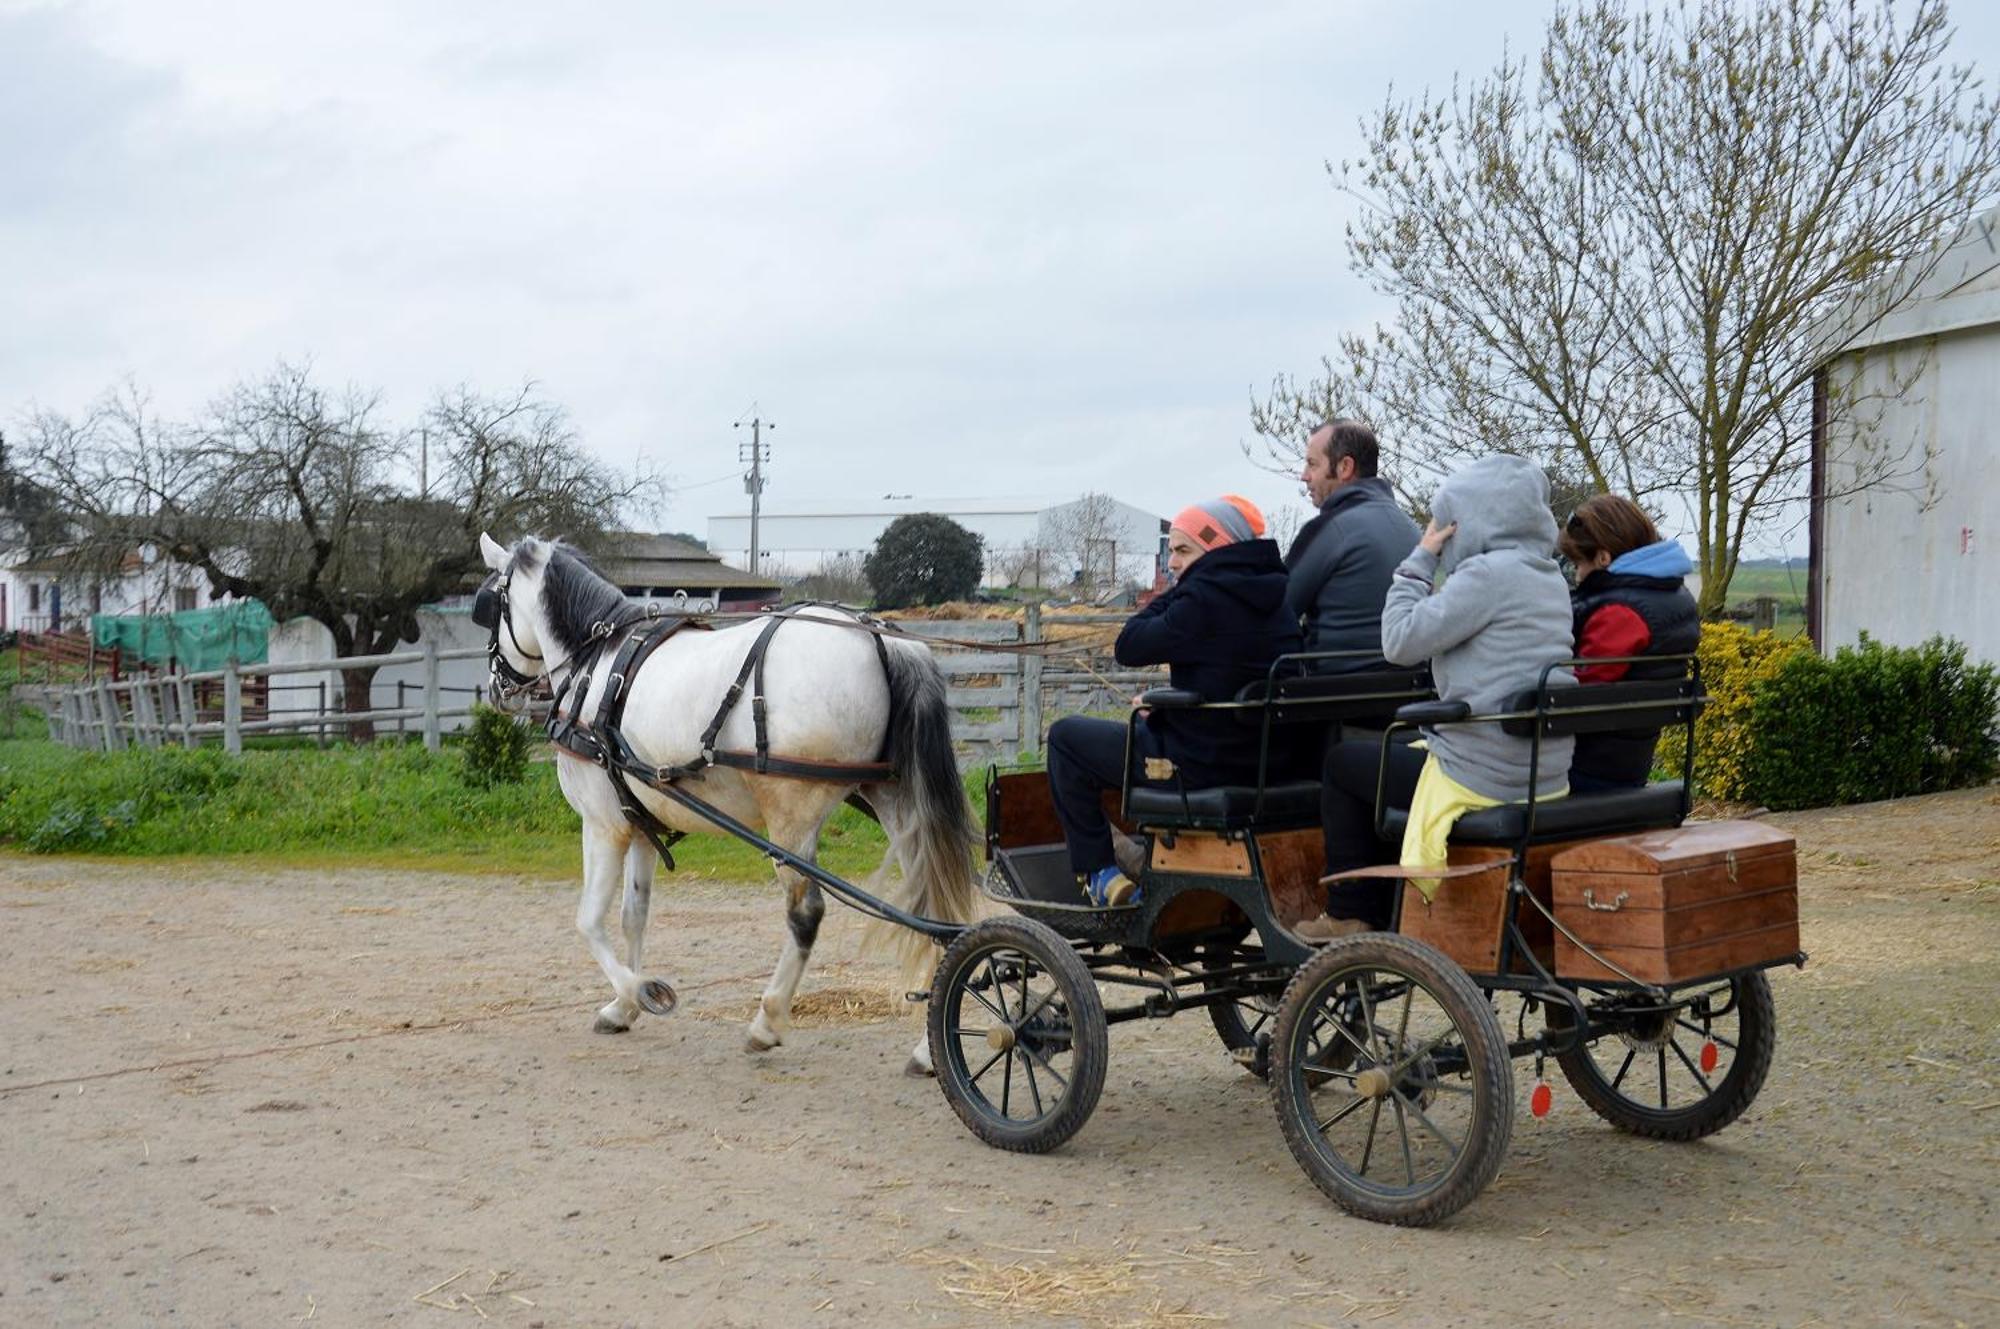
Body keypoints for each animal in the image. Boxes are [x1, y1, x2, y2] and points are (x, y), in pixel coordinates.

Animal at [484, 528, 984, 1072]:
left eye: (489, 603)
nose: (495, 685)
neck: (598, 666)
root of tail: (882, 639)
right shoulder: (639, 822)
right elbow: (633, 916)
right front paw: (622, 1008)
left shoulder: (602, 824)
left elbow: (588, 920)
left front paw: (643, 992)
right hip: (895, 801)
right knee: (934, 908)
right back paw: (929, 1048)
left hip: (791, 820)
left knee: (806, 914)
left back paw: (768, 1022)